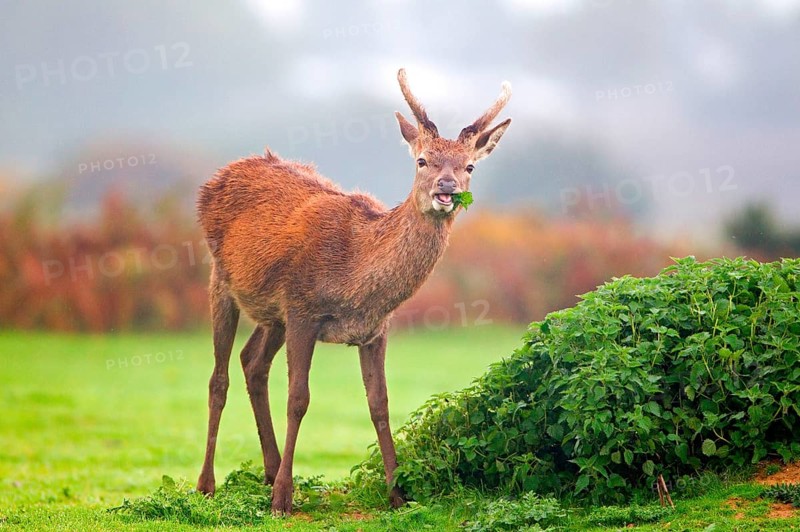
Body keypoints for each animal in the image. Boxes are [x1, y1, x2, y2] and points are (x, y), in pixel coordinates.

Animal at [195, 68, 512, 515]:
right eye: (421, 160)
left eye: (469, 166)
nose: (447, 188)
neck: (356, 279)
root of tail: (219, 175)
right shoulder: (303, 310)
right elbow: (299, 398)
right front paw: (283, 500)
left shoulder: (374, 329)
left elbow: (379, 404)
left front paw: (397, 493)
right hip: (221, 278)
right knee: (218, 378)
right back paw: (208, 485)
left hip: (273, 314)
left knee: (252, 363)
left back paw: (269, 471)